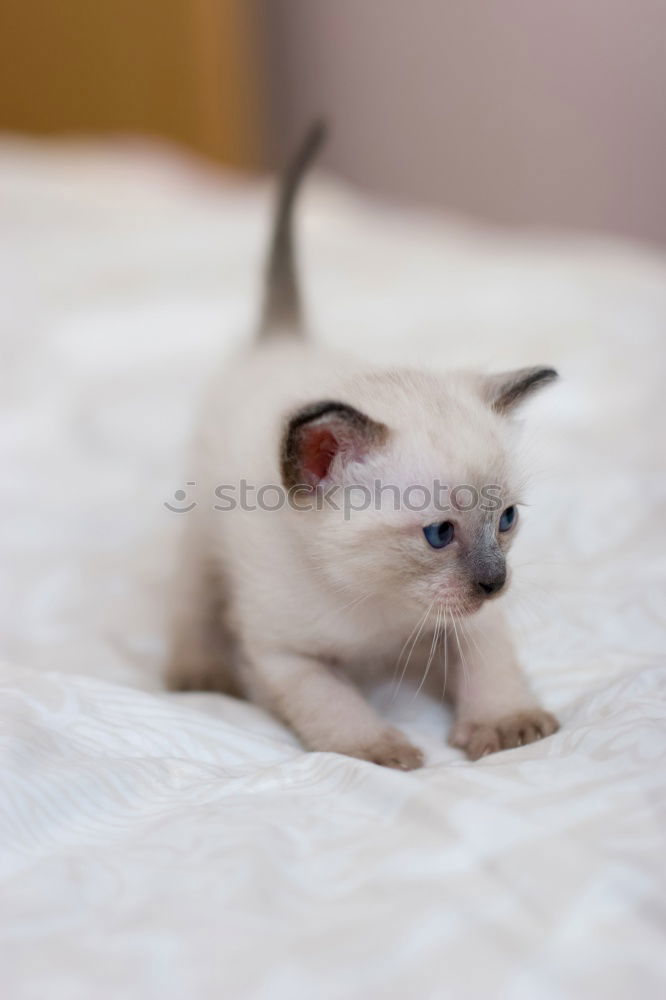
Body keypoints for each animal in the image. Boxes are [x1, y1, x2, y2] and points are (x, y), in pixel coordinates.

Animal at [165, 125, 556, 764]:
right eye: (439, 534)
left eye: (506, 520)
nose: (496, 583)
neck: (382, 605)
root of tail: (283, 341)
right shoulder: (286, 655)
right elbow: (334, 706)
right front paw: (379, 749)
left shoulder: (474, 621)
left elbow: (489, 665)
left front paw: (507, 724)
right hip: (203, 534)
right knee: (192, 598)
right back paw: (199, 673)